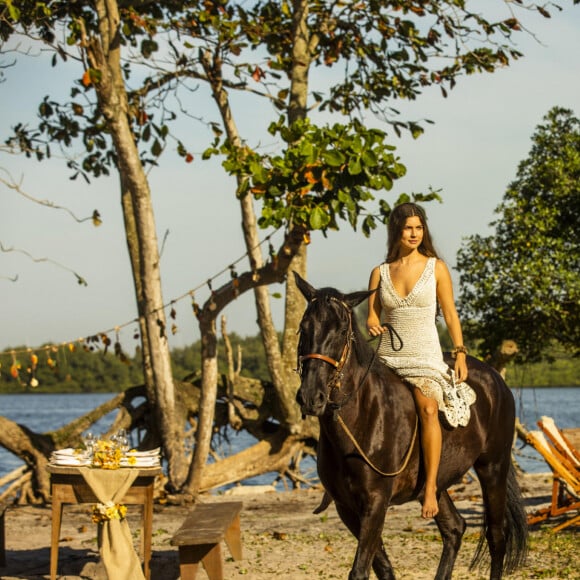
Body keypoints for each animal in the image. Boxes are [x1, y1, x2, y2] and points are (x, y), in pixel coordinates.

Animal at [294, 274, 524, 580]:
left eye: (342, 330)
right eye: (304, 328)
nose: (311, 397)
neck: (363, 417)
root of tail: (495, 379)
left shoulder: (376, 502)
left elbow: (360, 570)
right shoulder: (347, 507)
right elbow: (382, 567)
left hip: (493, 468)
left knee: (496, 536)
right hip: (436, 485)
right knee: (454, 528)